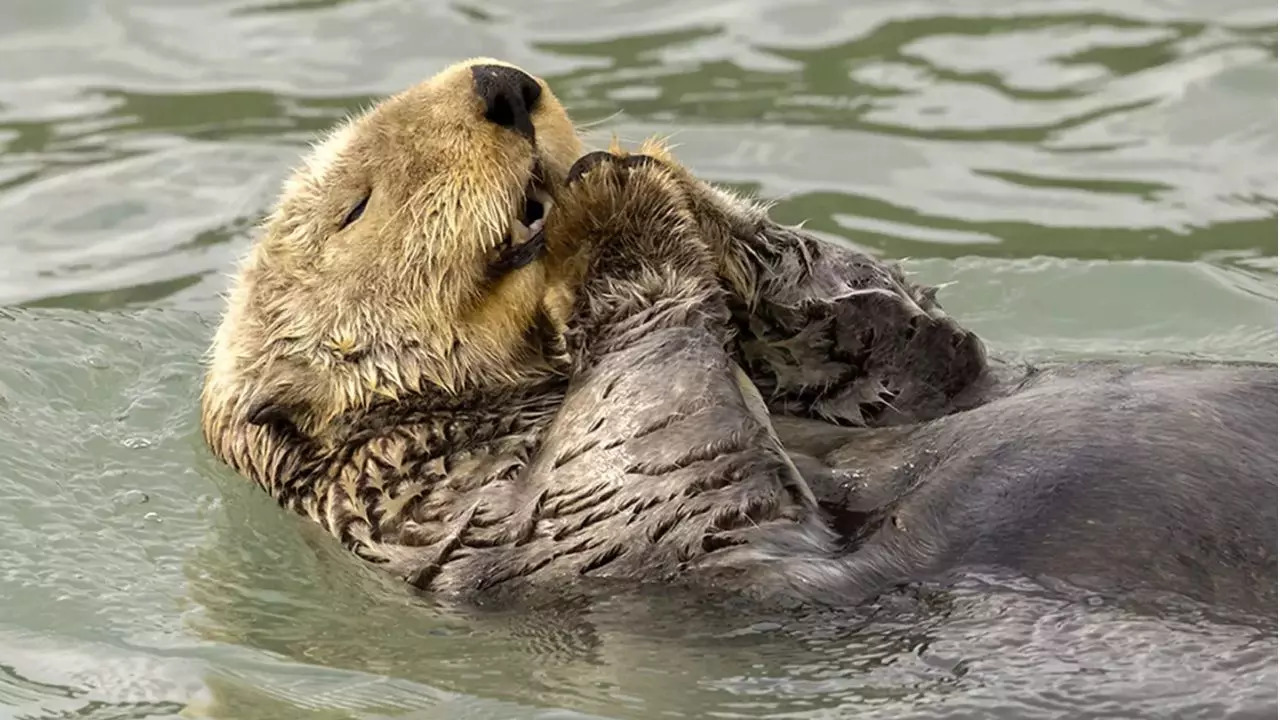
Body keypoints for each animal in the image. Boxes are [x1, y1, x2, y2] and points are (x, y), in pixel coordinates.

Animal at [197, 60, 1269, 609]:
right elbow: (655, 465)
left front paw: (647, 171)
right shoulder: (457, 511)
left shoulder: (907, 375)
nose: (501, 85)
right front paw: (616, 214)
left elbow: (913, 345)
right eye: (355, 206)